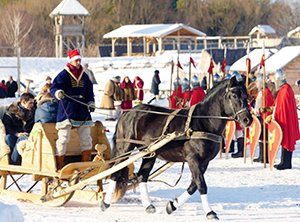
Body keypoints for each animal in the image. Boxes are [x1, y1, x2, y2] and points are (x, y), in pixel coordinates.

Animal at [100, 76, 251, 220]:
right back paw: (105, 203)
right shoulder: (193, 159)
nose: (247, 120)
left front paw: (172, 206)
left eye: (246, 96)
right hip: (125, 148)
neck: (203, 122)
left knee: (142, 175)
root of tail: (127, 113)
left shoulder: (204, 161)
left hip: (149, 153)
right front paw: (210, 212)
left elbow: (193, 185)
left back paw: (148, 205)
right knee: (116, 172)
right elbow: (201, 184)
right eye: (234, 95)